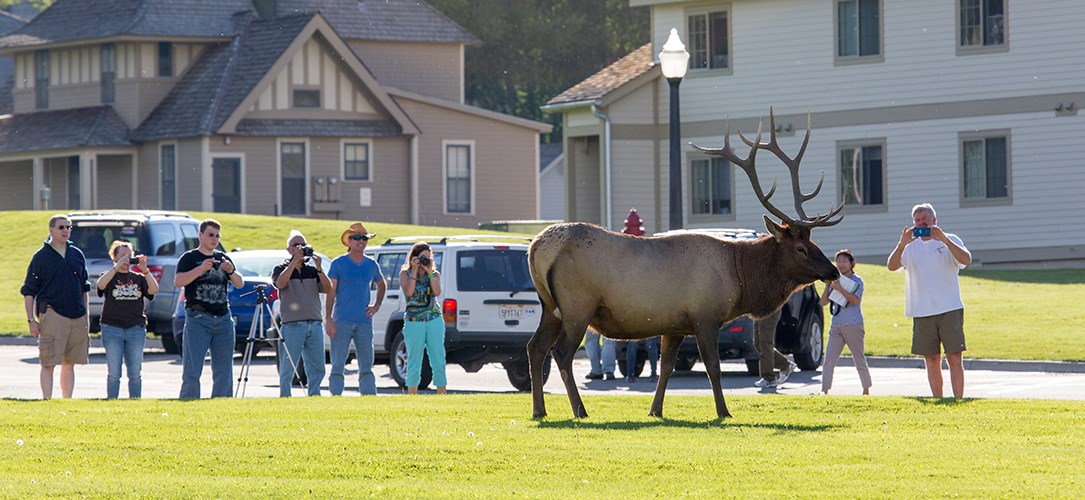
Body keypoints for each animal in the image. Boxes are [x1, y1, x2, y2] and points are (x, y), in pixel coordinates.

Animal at [529, 107, 841, 416]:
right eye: (801, 248)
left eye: (814, 242)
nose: (834, 271)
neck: (739, 277)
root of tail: (536, 247)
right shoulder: (705, 315)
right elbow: (713, 367)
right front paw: (723, 412)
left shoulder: (675, 326)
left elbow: (666, 367)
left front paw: (655, 410)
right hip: (578, 305)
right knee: (561, 353)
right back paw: (579, 410)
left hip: (550, 306)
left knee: (535, 347)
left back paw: (539, 411)